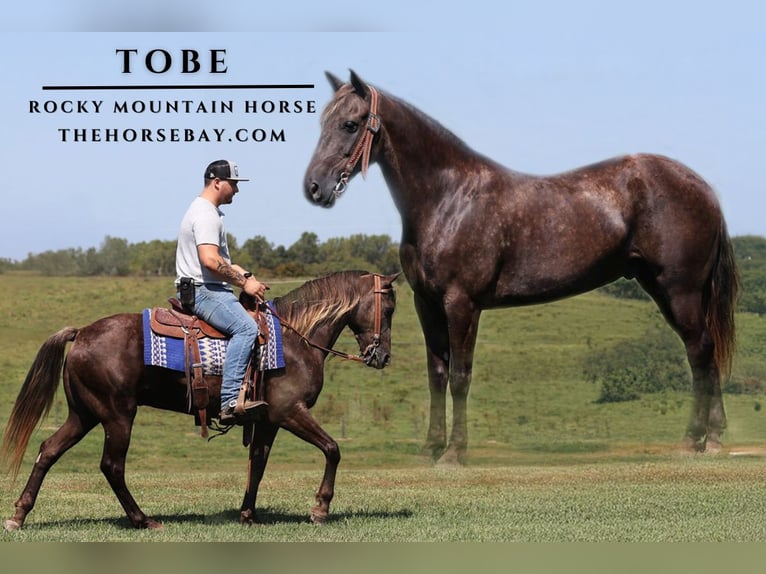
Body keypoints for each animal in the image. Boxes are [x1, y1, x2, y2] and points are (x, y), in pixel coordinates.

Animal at [4, 272, 402, 532]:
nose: (381, 356)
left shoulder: (268, 420)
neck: (294, 339)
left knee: (48, 450)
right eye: (390, 307)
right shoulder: (291, 412)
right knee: (112, 466)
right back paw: (143, 520)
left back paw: (18, 515)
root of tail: (82, 333)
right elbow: (333, 449)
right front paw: (319, 509)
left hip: (83, 414)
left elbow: (258, 464)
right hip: (117, 415)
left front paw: (248, 515)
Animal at [304, 72, 740, 468]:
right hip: (664, 288)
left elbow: (461, 376)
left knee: (699, 351)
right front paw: (430, 450)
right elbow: (437, 374)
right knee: (705, 353)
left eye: (350, 124)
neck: (448, 199)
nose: (314, 187)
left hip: (679, 289)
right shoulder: (426, 303)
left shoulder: (462, 303)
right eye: (322, 121)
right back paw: (714, 438)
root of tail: (703, 188)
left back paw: (695, 440)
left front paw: (455, 454)